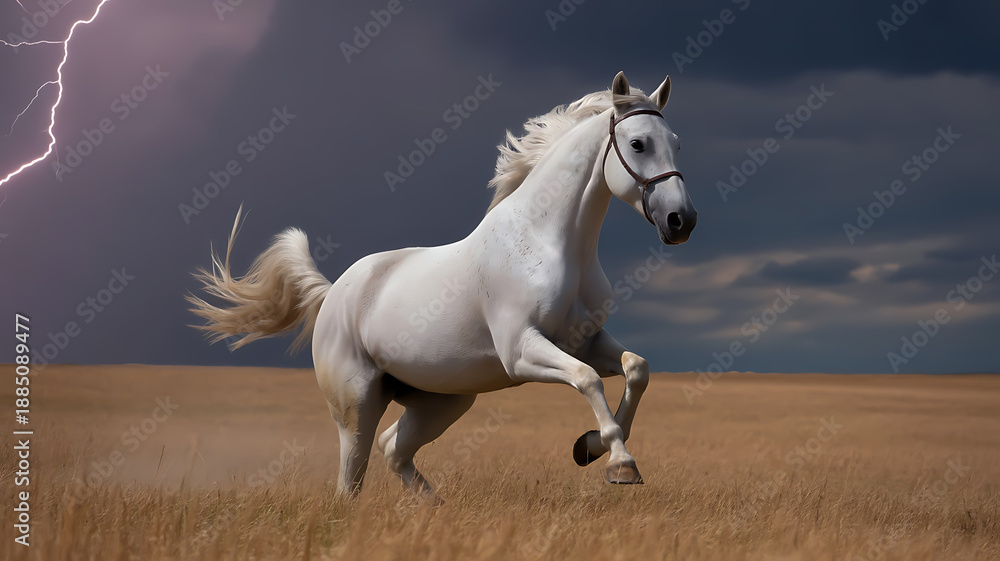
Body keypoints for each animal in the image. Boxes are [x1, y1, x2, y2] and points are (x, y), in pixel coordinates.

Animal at [188, 71, 697, 499]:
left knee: (393, 449)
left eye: (675, 142)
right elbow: (589, 380)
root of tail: (333, 293)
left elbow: (636, 368)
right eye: (637, 143)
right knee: (352, 477)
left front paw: (589, 448)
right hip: (357, 405)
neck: (550, 242)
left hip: (442, 402)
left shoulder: (586, 340)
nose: (682, 221)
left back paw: (434, 508)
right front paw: (619, 463)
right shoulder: (522, 351)